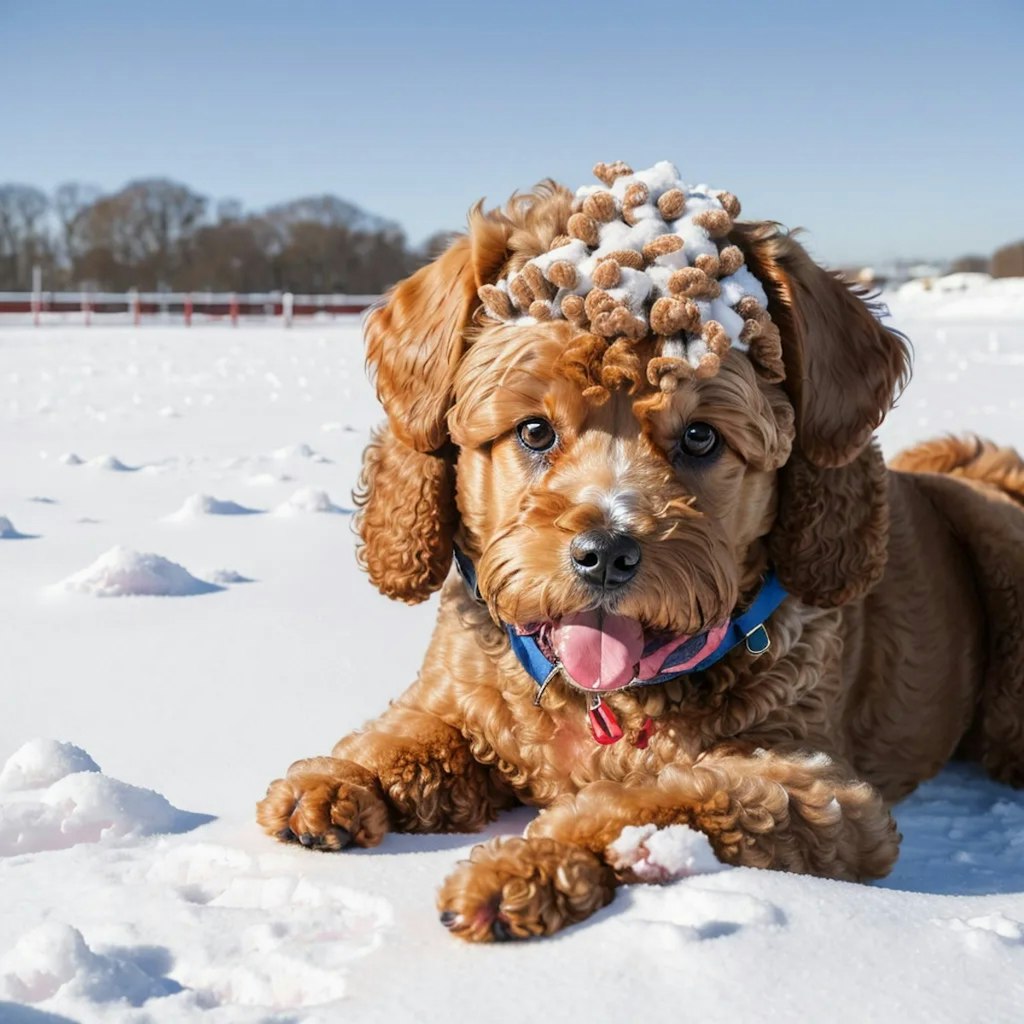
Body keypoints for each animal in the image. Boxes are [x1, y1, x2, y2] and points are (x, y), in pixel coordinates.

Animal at [256, 172, 1024, 937]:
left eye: (702, 436)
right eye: (534, 430)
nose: (605, 555)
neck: (603, 701)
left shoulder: (819, 791)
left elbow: (663, 803)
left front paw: (526, 866)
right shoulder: (455, 693)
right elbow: (407, 734)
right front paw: (334, 780)